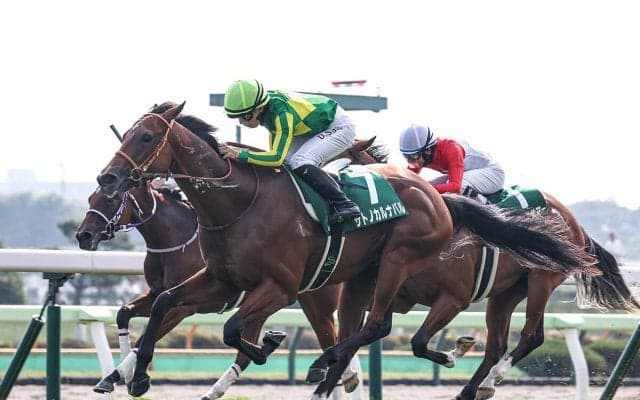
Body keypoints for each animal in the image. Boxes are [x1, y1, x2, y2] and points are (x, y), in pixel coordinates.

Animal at [94, 102, 595, 397]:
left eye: (145, 137)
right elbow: (162, 305)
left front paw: (271, 346)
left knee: (383, 326)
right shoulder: (220, 281)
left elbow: (236, 331)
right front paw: (137, 377)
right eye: (126, 136)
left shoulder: (281, 287)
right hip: (405, 283)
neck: (237, 203)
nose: (108, 177)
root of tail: (437, 199)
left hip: (421, 264)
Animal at [324, 144, 640, 400]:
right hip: (507, 293)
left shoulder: (454, 297)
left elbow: (416, 341)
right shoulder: (388, 291)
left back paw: (491, 380)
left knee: (531, 336)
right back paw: (472, 389)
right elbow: (359, 333)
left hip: (542, 279)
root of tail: (574, 222)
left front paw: (452, 355)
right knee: (497, 346)